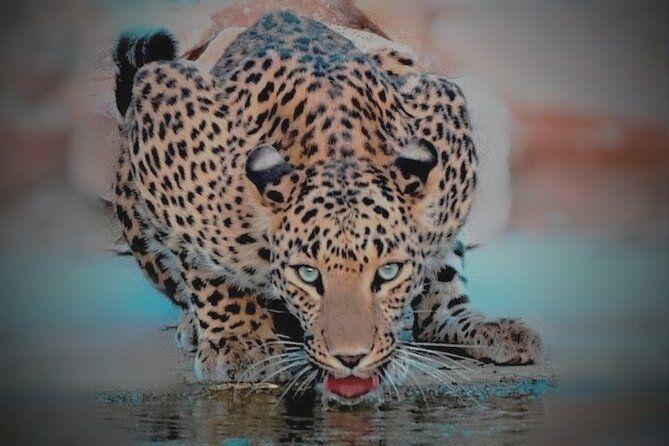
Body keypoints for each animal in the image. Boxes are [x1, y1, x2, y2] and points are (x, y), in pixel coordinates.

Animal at [112, 10, 541, 405]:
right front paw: (241, 341)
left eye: (387, 273)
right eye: (307, 275)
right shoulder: (167, 120)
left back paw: (488, 328)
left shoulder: (445, 111)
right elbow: (206, 263)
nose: (350, 359)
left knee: (436, 313)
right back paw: (194, 325)